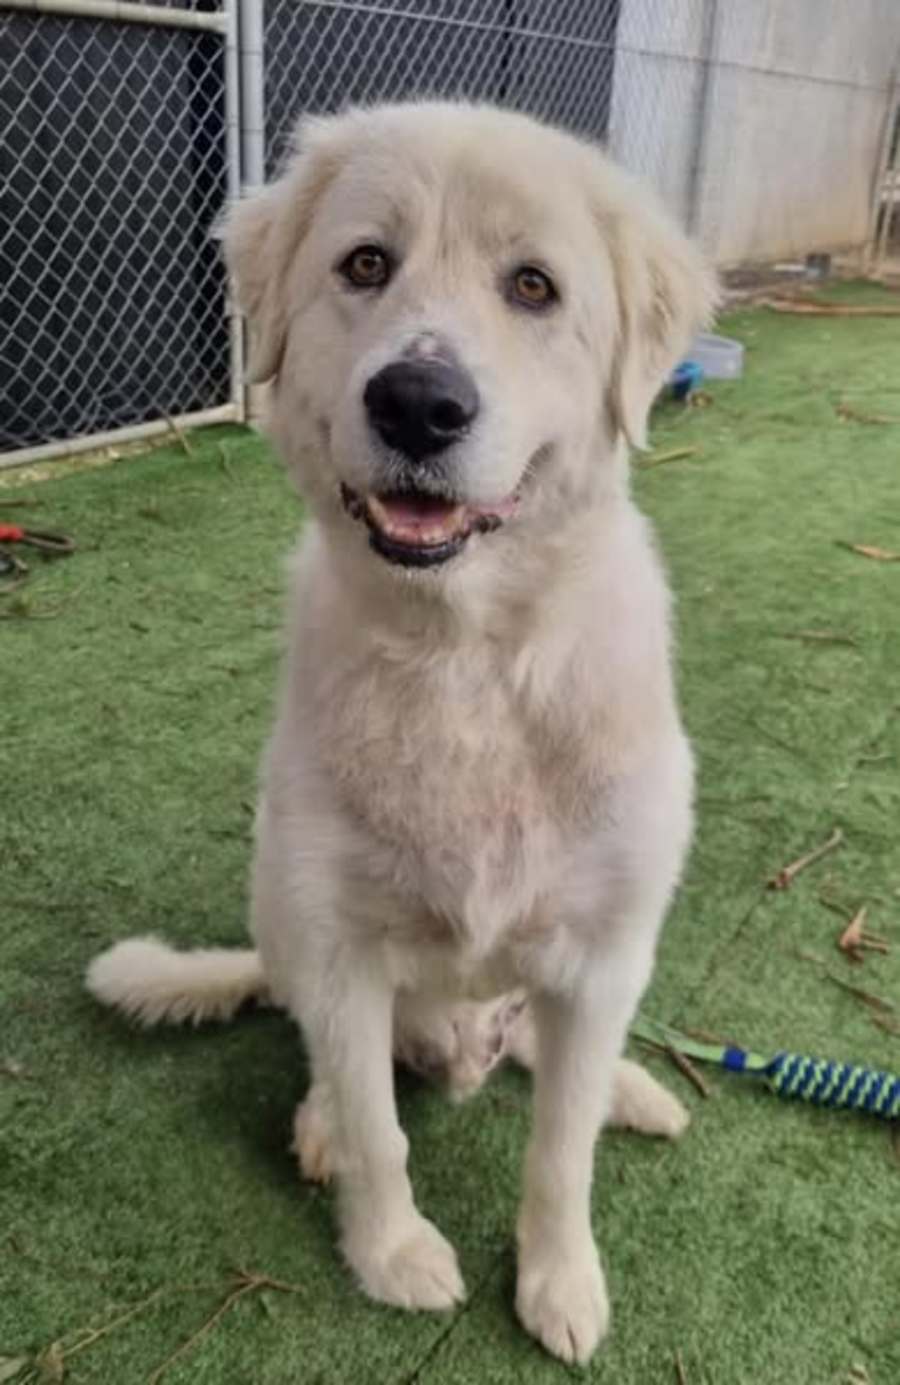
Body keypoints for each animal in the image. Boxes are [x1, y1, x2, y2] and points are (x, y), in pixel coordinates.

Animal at [87, 101, 716, 1364]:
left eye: (533, 286)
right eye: (366, 265)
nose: (419, 402)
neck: (465, 662)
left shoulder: (601, 954)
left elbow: (559, 1153)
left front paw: (560, 1280)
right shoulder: (338, 949)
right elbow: (383, 1131)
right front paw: (390, 1253)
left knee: (554, 1064)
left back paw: (629, 1087)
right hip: (287, 922)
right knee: (344, 1067)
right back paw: (324, 1120)